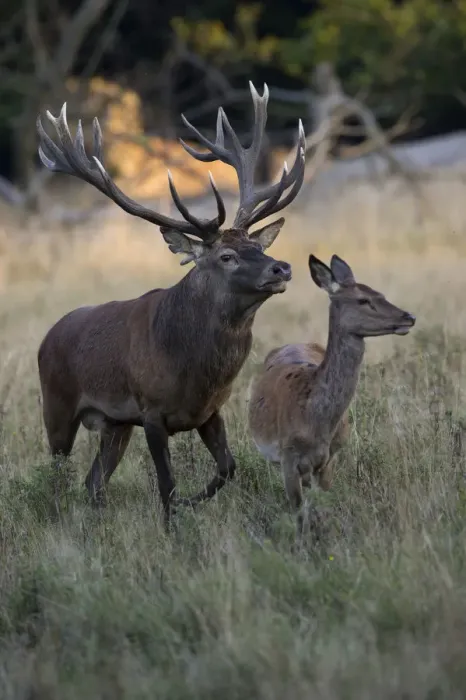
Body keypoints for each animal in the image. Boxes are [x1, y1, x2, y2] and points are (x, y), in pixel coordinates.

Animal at [35, 82, 306, 526]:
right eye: (226, 256)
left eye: (258, 246)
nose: (281, 268)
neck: (195, 370)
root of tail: (48, 336)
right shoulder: (151, 412)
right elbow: (167, 486)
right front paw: (174, 524)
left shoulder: (209, 410)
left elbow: (228, 468)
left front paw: (193, 503)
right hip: (56, 406)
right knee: (57, 478)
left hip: (115, 423)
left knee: (93, 482)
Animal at [248, 254, 416, 543]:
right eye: (363, 299)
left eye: (380, 293)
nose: (409, 317)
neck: (314, 421)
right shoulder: (288, 459)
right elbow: (299, 512)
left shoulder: (330, 458)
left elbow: (321, 511)